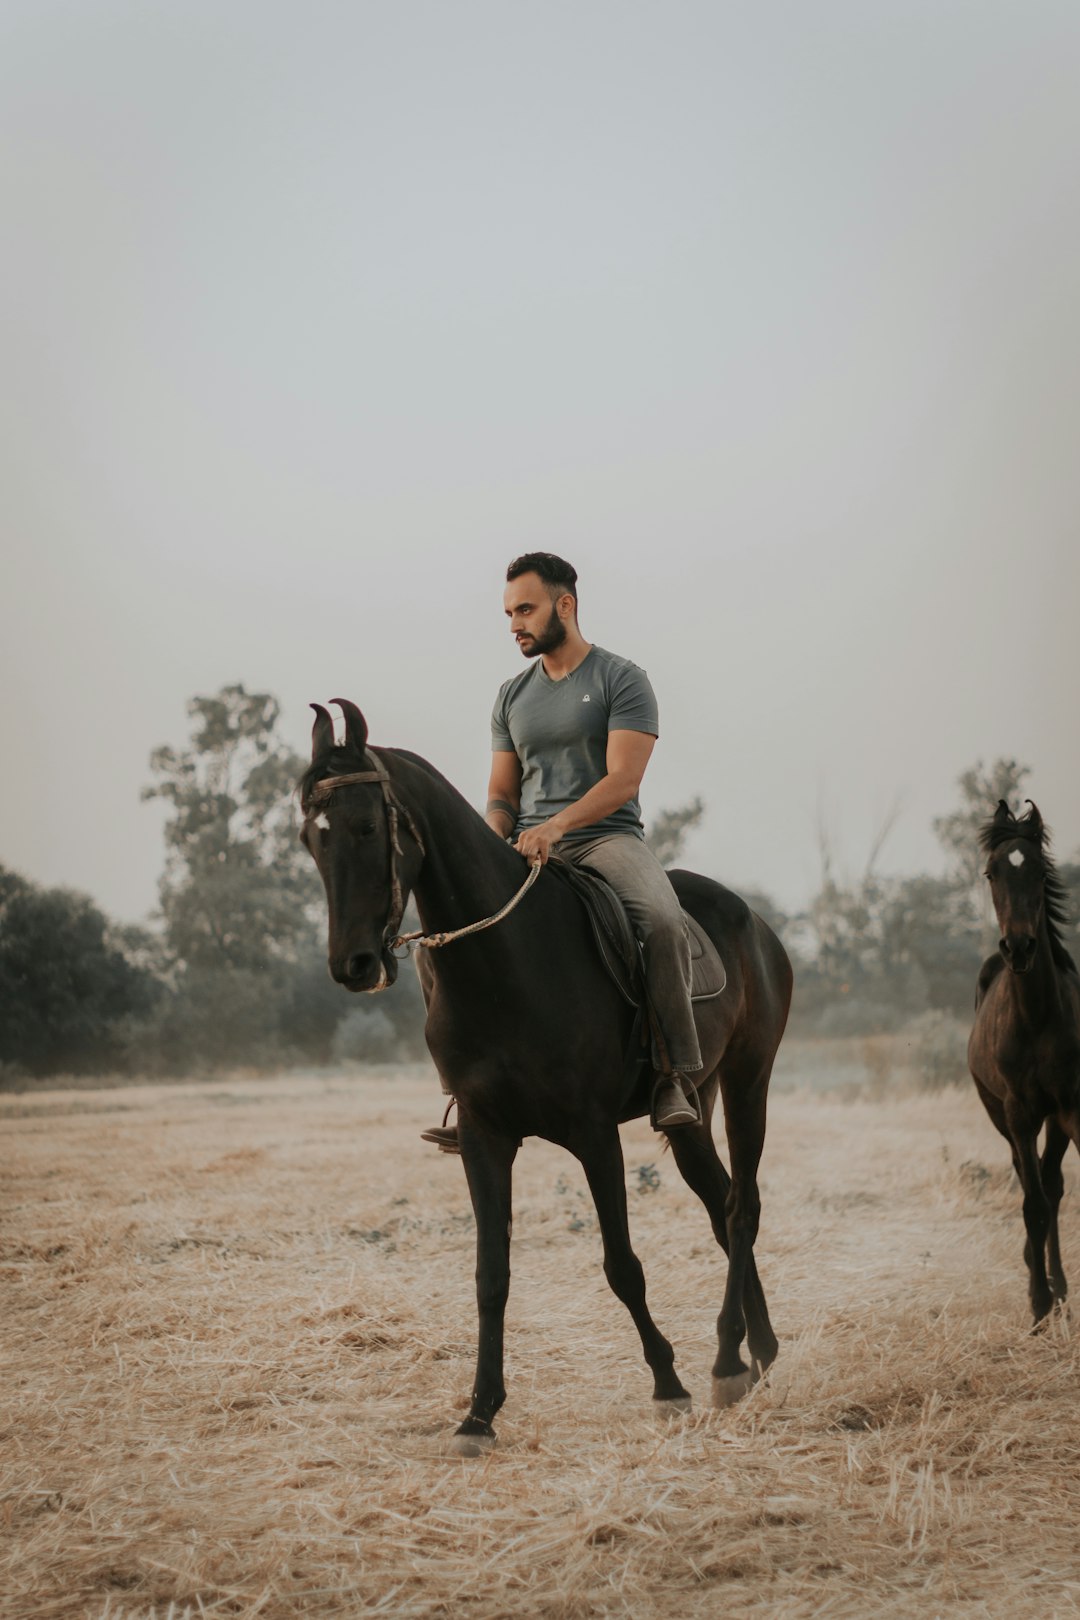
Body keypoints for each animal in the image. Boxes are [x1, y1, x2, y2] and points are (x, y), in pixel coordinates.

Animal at [299, 703, 790, 1451]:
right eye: (309, 838)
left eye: (366, 827)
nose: (351, 965)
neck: (508, 960)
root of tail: (756, 922)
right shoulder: (483, 1137)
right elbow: (490, 1275)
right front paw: (478, 1413)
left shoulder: (593, 1135)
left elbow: (622, 1266)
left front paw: (667, 1385)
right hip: (691, 1111)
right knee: (721, 1206)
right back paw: (755, 1354)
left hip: (747, 1079)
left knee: (742, 1209)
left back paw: (726, 1360)